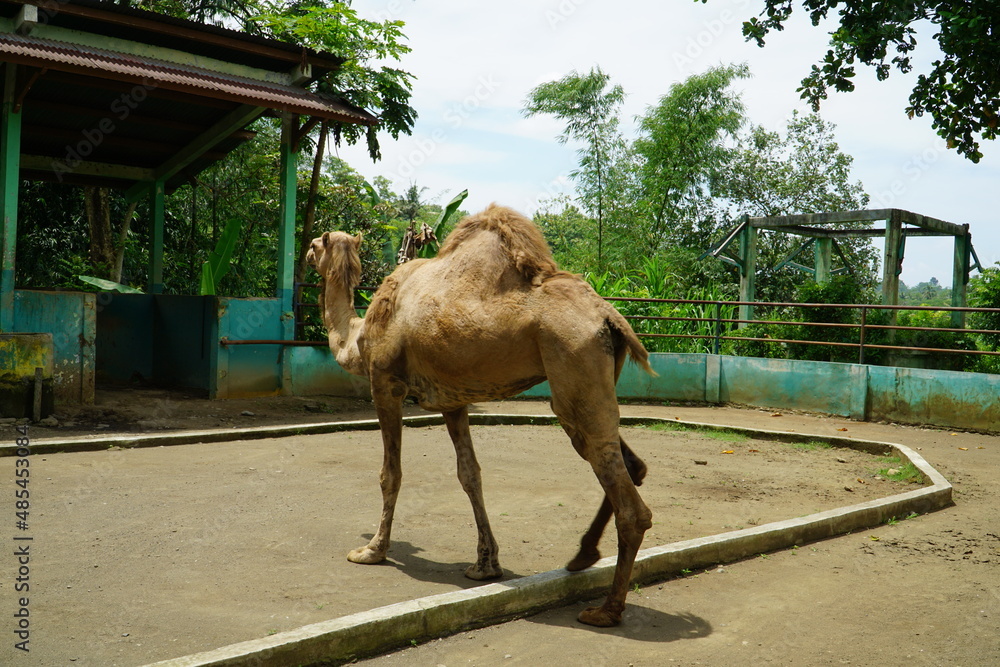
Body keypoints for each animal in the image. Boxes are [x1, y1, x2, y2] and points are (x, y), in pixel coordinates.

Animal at [306, 204, 654, 627]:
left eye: (314, 245)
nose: (304, 254)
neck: (356, 338)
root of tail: (610, 318)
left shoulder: (384, 382)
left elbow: (391, 473)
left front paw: (372, 550)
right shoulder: (453, 400)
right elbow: (469, 473)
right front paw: (485, 564)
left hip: (574, 366)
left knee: (628, 501)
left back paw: (606, 610)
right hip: (589, 384)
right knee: (628, 463)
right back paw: (582, 556)